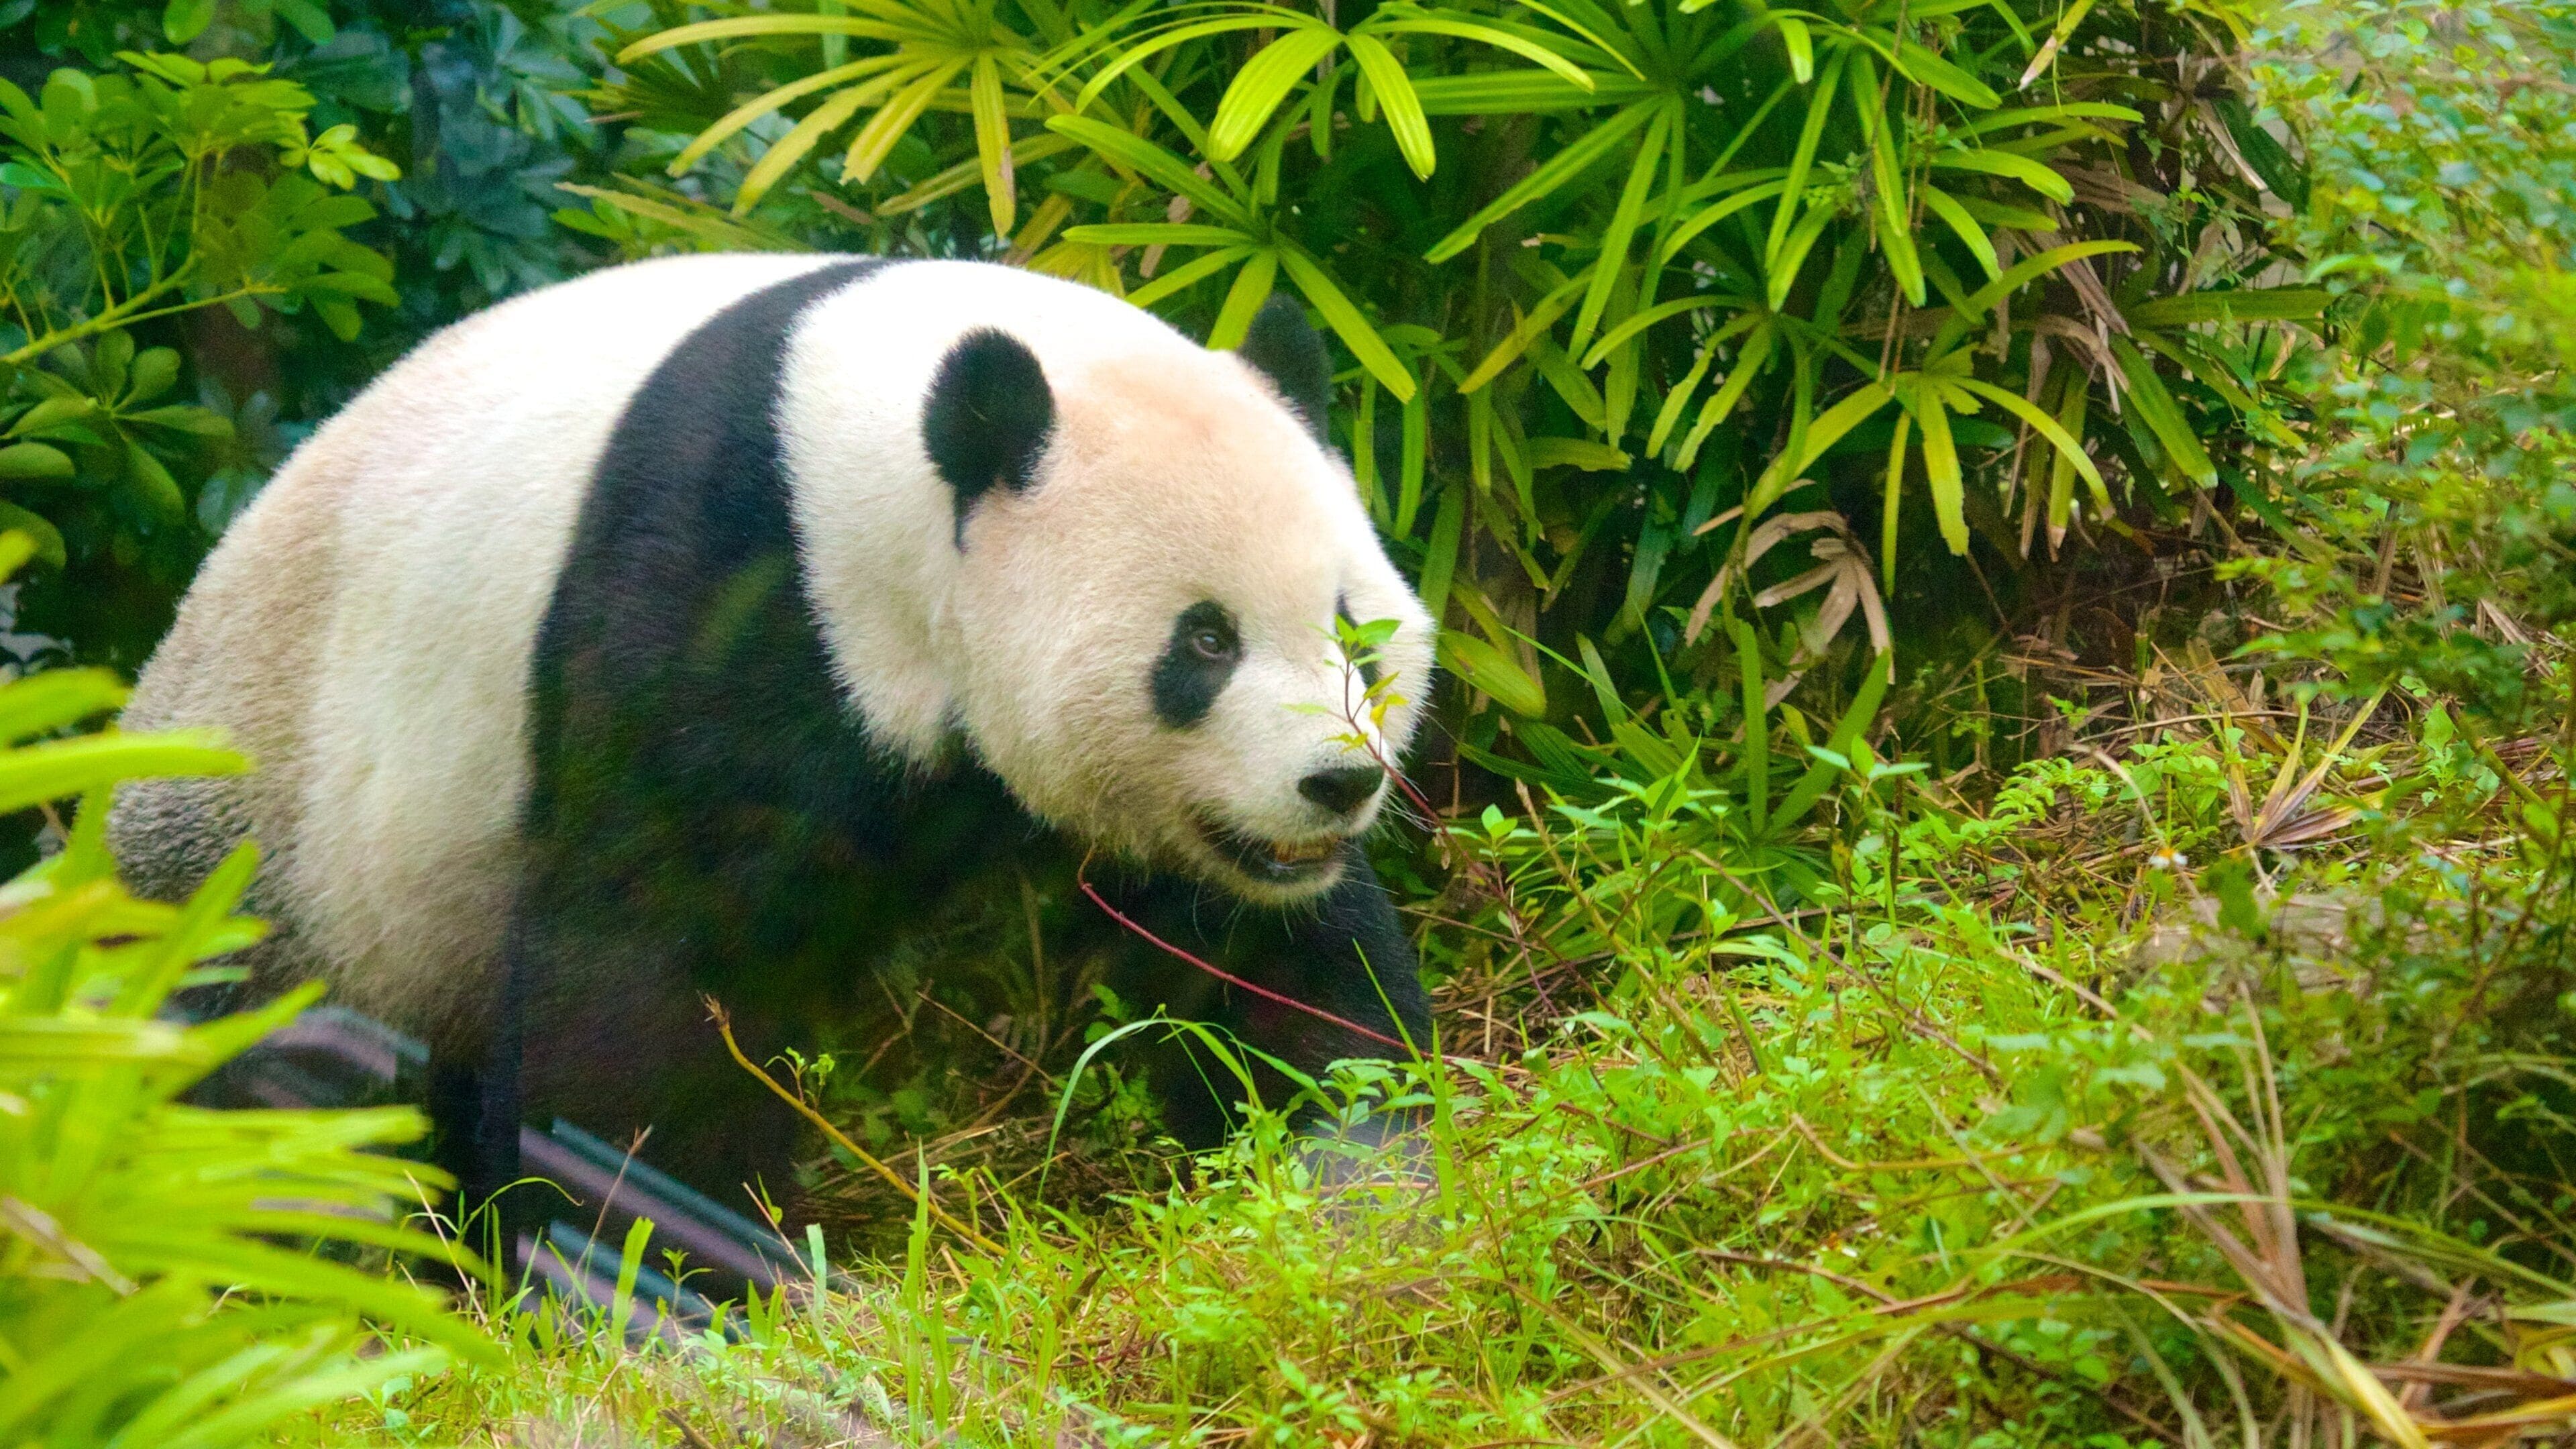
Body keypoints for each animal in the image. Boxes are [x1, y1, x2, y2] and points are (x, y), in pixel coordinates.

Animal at [108, 253, 1438, 1229]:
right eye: (1204, 643)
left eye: (1353, 632)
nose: (1336, 784)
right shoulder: (711, 585)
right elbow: (649, 956)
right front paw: (679, 1258)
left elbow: (1263, 959)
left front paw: (1354, 1165)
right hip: (268, 859)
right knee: (260, 1099)